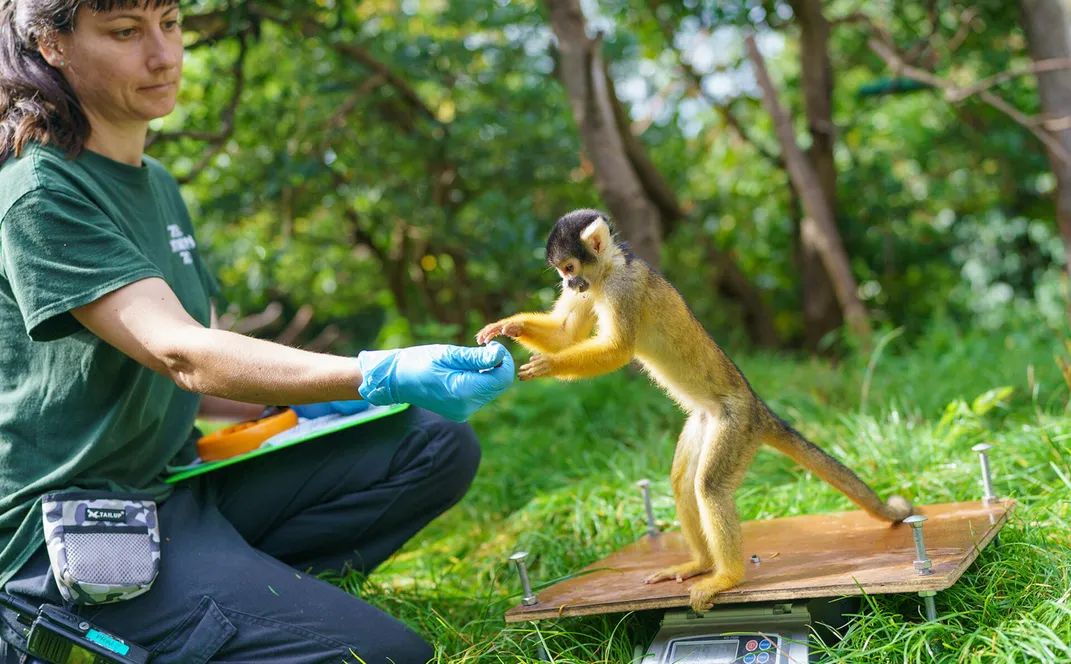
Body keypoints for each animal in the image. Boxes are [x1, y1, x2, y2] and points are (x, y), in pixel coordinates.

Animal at [477, 207, 912, 612]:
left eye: (568, 268)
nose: (568, 283)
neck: (611, 268)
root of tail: (758, 406)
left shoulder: (622, 288)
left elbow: (617, 350)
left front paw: (549, 366)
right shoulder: (592, 288)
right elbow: (566, 333)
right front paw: (509, 326)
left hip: (736, 425)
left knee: (710, 486)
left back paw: (727, 576)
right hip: (705, 422)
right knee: (684, 481)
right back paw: (702, 563)